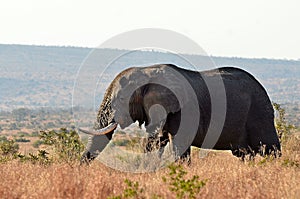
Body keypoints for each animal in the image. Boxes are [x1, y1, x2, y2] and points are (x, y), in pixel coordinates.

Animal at [78, 63, 280, 163]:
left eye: (120, 99)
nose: (79, 170)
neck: (147, 71)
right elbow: (155, 142)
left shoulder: (184, 110)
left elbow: (178, 144)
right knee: (246, 154)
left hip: (259, 112)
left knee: (270, 150)